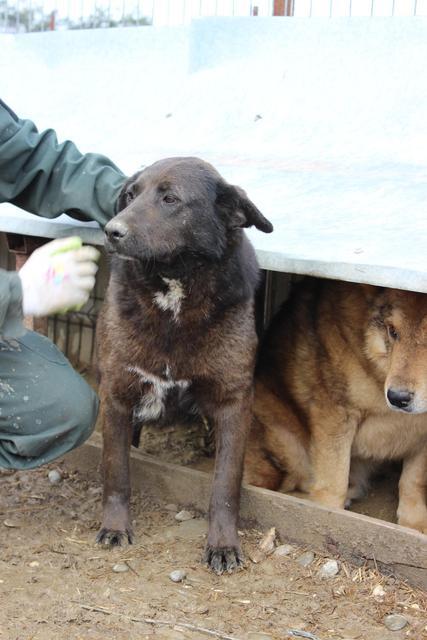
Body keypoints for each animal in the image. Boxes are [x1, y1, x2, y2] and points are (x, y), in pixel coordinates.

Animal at [95, 156, 272, 576]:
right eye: (130, 196)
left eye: (170, 199)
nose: (111, 231)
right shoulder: (116, 394)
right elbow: (116, 471)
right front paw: (115, 526)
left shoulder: (234, 403)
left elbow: (225, 486)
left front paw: (223, 544)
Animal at [244, 280, 427, 536]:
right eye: (393, 331)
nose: (398, 398)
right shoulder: (335, 413)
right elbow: (332, 485)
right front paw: (326, 517)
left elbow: (413, 480)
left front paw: (415, 525)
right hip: (285, 444)